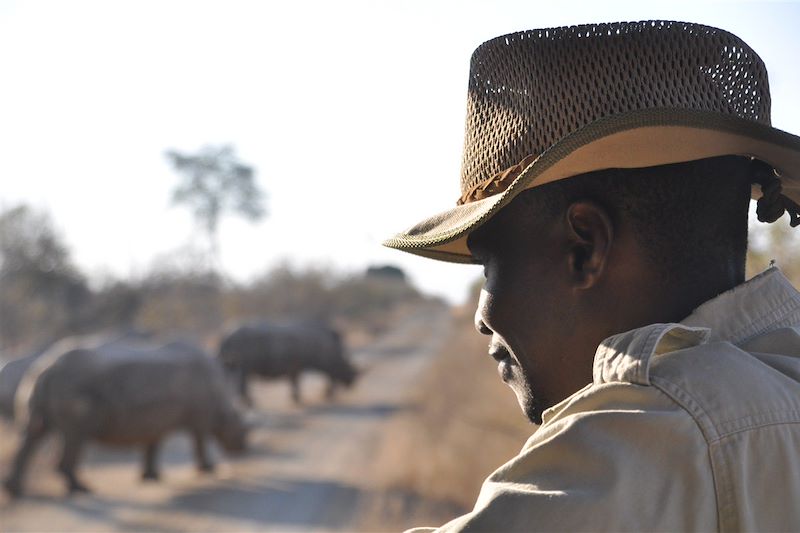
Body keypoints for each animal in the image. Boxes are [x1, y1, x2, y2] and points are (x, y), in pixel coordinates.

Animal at [3, 338, 247, 496]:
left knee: (33, 433)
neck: (222, 401)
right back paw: (81, 489)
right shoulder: (200, 416)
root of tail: (45, 369)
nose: (241, 449)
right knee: (75, 436)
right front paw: (209, 469)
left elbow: (152, 444)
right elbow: (199, 440)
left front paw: (151, 476)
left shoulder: (156, 418)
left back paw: (14, 490)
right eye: (239, 428)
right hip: (72, 387)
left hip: (36, 385)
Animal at [217, 320, 358, 404]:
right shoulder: (300, 365)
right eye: (346, 366)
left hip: (230, 356)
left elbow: (294, 380)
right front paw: (298, 398)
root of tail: (224, 337)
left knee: (229, 371)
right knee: (243, 374)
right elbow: (296, 380)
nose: (352, 384)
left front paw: (295, 398)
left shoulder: (296, 365)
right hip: (243, 351)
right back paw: (250, 402)